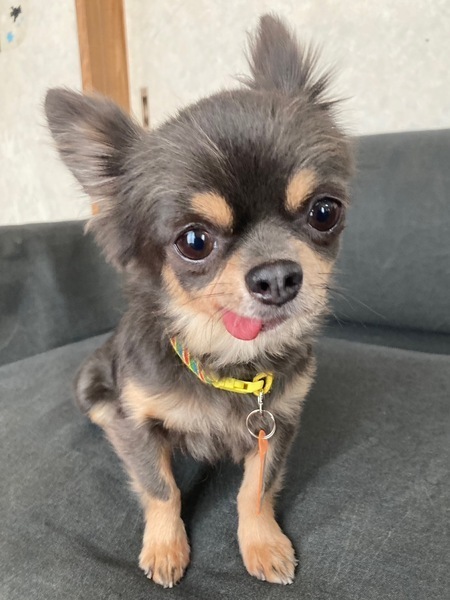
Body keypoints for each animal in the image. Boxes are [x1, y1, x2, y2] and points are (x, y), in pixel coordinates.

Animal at [45, 14, 353, 587]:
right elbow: (160, 488)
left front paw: (263, 543)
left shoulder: (277, 424)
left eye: (325, 211)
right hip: (90, 381)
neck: (228, 359)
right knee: (105, 415)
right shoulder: (142, 422)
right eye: (194, 241)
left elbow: (255, 490)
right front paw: (166, 547)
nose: (278, 276)